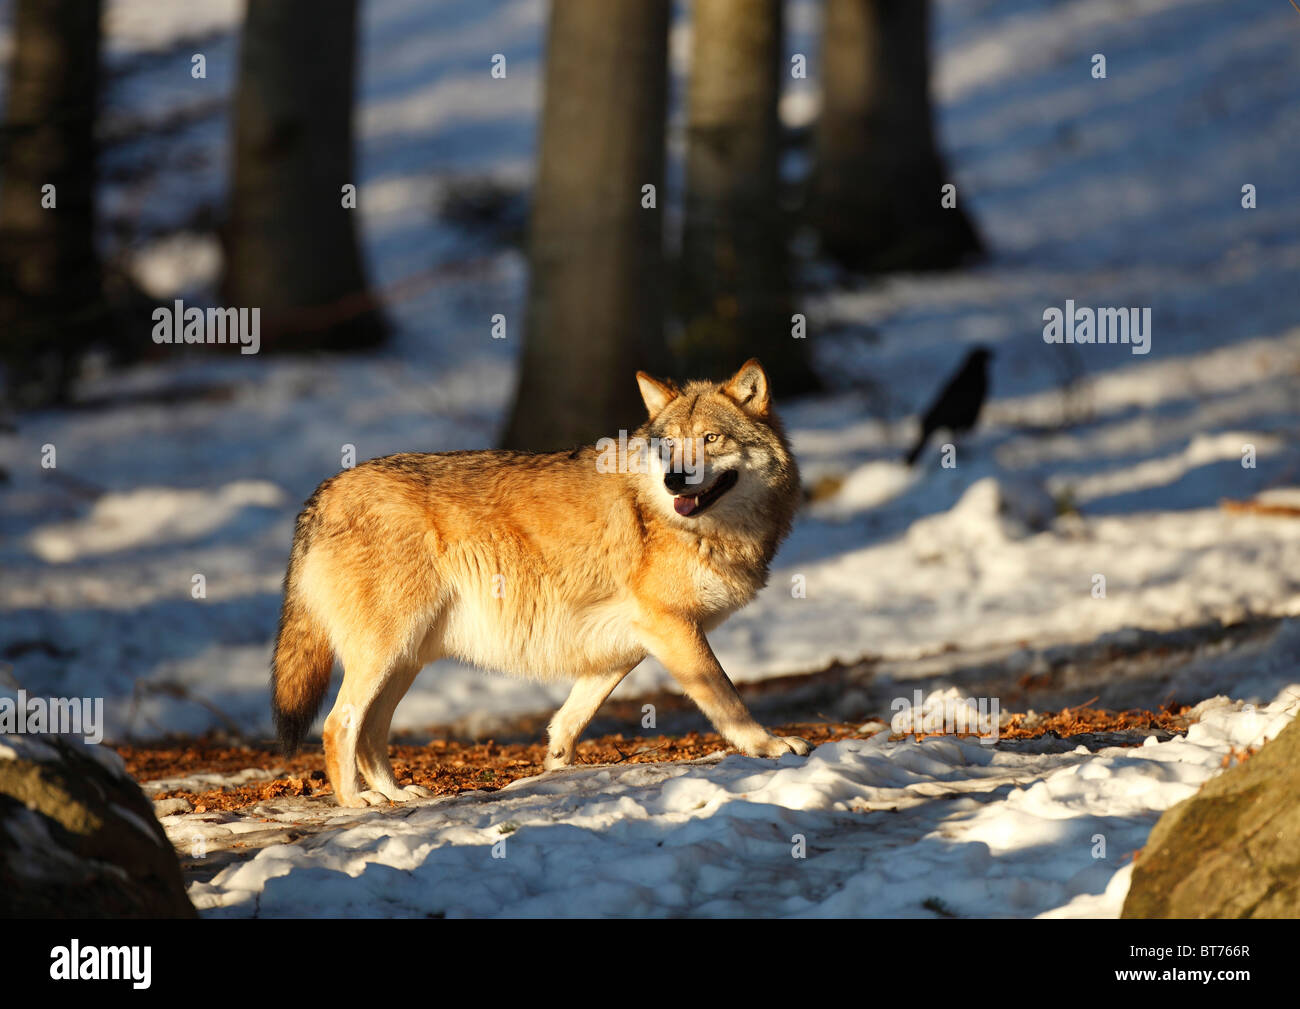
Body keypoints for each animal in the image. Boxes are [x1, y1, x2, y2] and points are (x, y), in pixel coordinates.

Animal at [271, 359, 809, 806]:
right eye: (669, 444)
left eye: (712, 438)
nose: (675, 479)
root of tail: (323, 493)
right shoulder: (672, 627)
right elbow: (727, 698)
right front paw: (769, 745)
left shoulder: (630, 641)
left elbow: (571, 716)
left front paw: (555, 767)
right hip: (386, 652)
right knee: (339, 724)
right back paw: (354, 802)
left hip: (406, 659)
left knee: (370, 734)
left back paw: (398, 794)